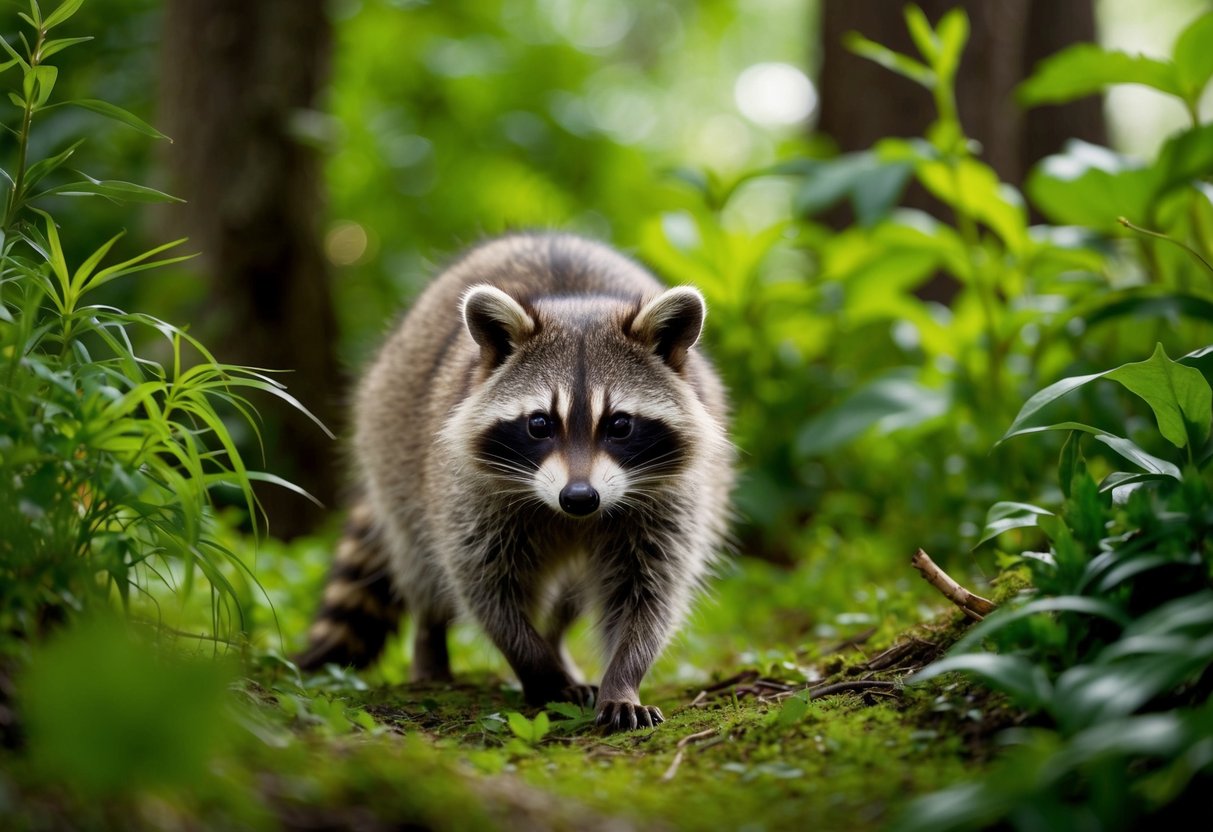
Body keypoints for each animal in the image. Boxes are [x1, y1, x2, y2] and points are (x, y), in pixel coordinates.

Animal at [297, 233, 732, 732]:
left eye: (620, 425)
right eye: (540, 424)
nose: (579, 497)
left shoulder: (671, 499)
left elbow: (649, 592)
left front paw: (623, 677)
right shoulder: (466, 492)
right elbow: (485, 586)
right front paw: (539, 669)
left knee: (569, 600)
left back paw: (558, 644)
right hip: (391, 447)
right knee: (421, 565)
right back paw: (432, 648)